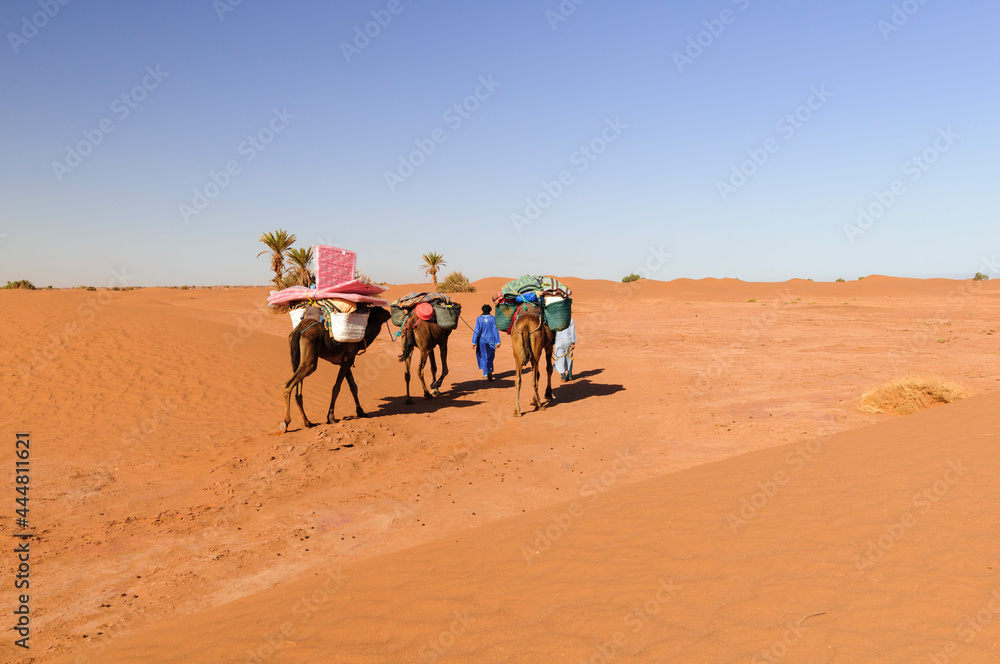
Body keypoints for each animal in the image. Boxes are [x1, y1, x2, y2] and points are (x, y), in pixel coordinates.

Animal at [282, 308, 394, 436]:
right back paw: (286, 423)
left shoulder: (346, 360)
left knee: (297, 392)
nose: (389, 313)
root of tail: (299, 329)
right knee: (289, 384)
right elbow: (337, 387)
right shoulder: (348, 358)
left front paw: (360, 411)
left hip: (298, 358)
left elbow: (353, 386)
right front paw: (330, 417)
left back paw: (308, 422)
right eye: (382, 311)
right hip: (309, 360)